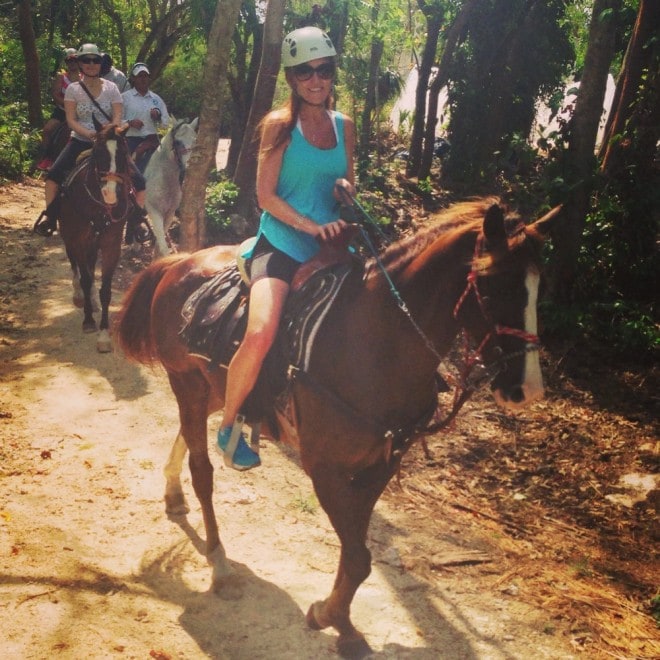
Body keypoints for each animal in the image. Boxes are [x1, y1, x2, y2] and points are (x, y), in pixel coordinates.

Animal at [59, 121, 135, 354]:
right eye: (98, 152)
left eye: (123, 153)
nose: (110, 193)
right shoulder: (79, 240)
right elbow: (84, 278)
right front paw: (89, 322)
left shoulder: (110, 244)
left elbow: (106, 290)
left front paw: (104, 334)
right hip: (70, 236)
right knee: (75, 264)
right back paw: (79, 296)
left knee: (91, 269)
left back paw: (91, 301)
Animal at [114, 199, 556, 656]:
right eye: (493, 286)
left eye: (540, 288)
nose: (527, 389)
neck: (376, 342)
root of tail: (181, 261)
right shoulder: (325, 470)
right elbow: (358, 556)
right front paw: (330, 615)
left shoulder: (379, 467)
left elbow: (355, 553)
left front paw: (339, 618)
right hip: (186, 381)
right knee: (202, 469)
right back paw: (219, 562)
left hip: (213, 386)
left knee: (190, 431)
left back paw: (174, 493)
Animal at [143, 117, 197, 256]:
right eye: (177, 142)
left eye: (194, 140)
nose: (186, 167)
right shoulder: (154, 211)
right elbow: (163, 246)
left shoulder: (169, 213)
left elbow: (159, 246)